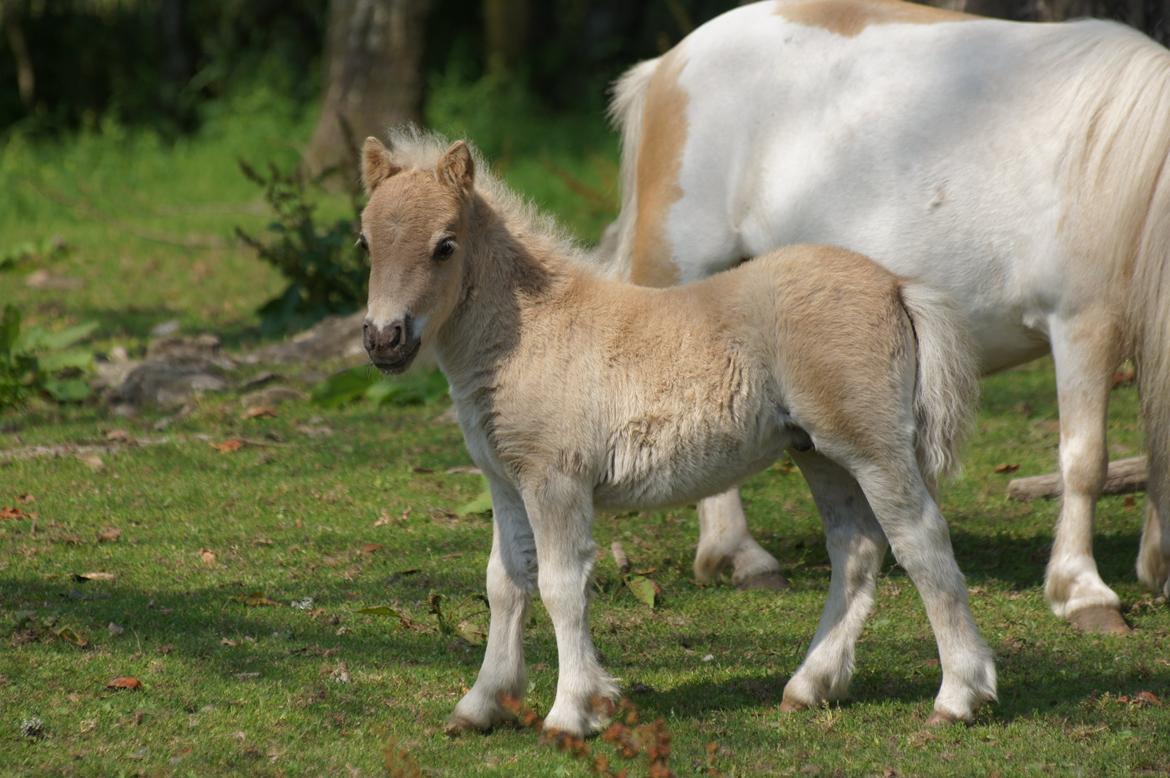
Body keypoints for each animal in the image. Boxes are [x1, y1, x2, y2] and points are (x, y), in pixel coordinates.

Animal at [358, 128, 996, 734]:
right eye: (365, 244)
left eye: (445, 245)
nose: (385, 339)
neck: (531, 333)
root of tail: (896, 285)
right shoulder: (506, 481)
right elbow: (506, 582)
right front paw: (482, 705)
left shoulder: (555, 479)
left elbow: (561, 586)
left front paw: (572, 712)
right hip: (818, 454)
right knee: (856, 548)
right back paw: (810, 685)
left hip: (872, 446)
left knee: (920, 540)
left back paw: (958, 697)